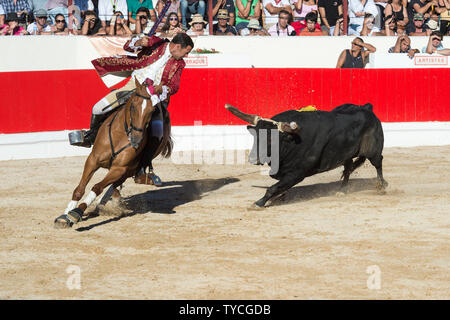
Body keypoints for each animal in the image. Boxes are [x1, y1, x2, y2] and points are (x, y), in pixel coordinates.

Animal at [53, 78, 172, 229]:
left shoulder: (119, 169)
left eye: (152, 111)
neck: (120, 135)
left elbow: (97, 187)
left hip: (127, 171)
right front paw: (64, 216)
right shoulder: (93, 160)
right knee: (113, 187)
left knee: (113, 185)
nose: (136, 139)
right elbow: (79, 189)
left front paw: (76, 213)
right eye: (133, 106)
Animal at [227, 102, 388, 208]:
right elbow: (279, 186)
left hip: (373, 150)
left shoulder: (297, 173)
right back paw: (342, 191)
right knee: (348, 169)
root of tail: (366, 108)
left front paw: (258, 203)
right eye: (255, 136)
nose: (253, 159)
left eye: (272, 139)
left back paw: (381, 186)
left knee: (378, 163)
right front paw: (279, 197)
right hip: (345, 154)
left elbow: (273, 188)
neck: (291, 141)